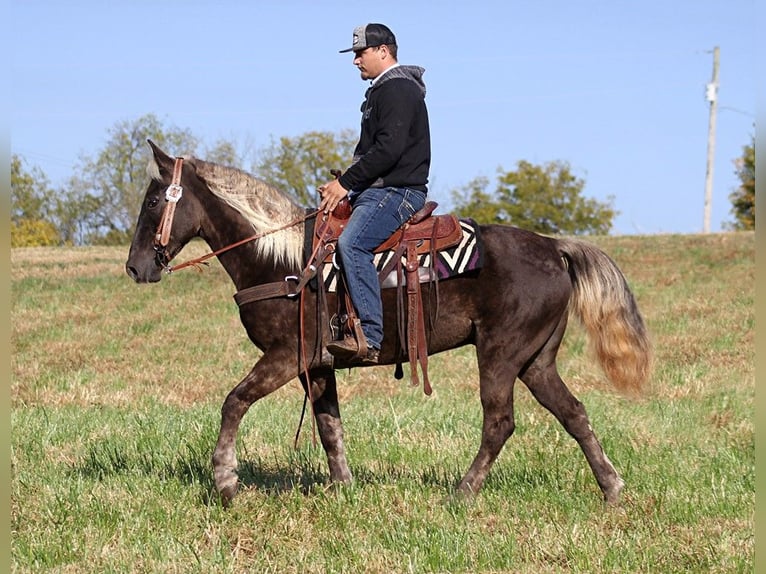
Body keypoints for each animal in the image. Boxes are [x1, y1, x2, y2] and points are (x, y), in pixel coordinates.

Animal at [126, 143, 656, 508]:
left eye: (153, 202)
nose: (135, 267)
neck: (282, 261)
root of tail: (553, 246)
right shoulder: (319, 365)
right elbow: (329, 426)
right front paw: (343, 488)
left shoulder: (285, 356)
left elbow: (233, 402)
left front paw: (225, 480)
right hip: (536, 361)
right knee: (574, 413)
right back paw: (612, 489)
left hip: (501, 354)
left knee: (499, 423)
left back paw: (462, 493)